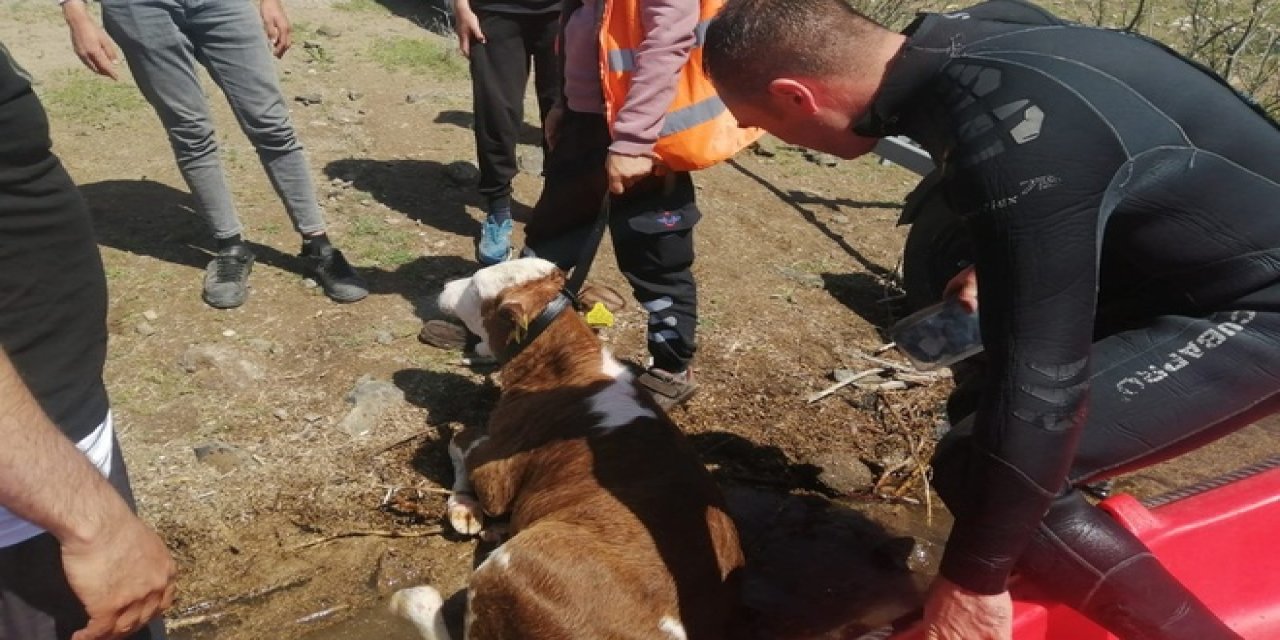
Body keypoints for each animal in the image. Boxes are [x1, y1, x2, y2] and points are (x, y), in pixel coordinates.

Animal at [394, 258, 747, 640]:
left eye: (475, 286)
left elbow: (460, 440)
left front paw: (463, 505)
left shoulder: (498, 474)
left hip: (515, 567)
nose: (446, 286)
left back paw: (414, 598)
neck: (563, 364)